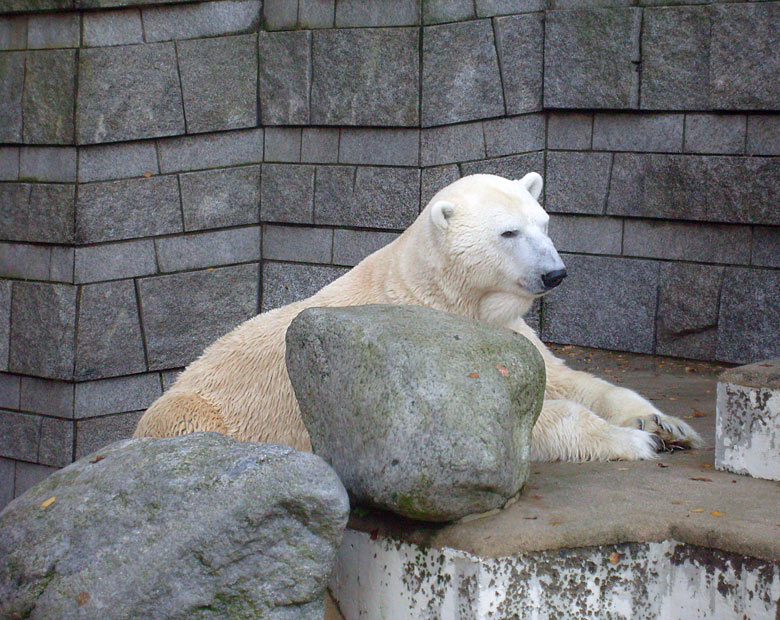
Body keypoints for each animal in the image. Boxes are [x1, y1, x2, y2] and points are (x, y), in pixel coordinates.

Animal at [134, 173, 700, 460]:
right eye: (508, 232)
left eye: (543, 222)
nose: (555, 273)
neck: (442, 296)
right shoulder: (422, 352)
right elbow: (507, 419)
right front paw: (637, 441)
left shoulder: (508, 330)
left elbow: (568, 378)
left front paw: (665, 423)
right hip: (194, 412)